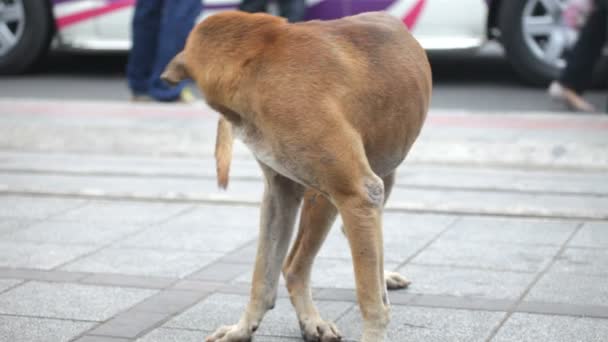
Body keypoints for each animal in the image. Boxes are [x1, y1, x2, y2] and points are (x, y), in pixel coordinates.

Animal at [163, 10, 432, 342]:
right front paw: (243, 328)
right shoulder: (280, 196)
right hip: (339, 190)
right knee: (296, 265)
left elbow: (370, 298)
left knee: (309, 262)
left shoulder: (356, 193)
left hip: (344, 189)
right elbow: (262, 275)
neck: (258, 61)